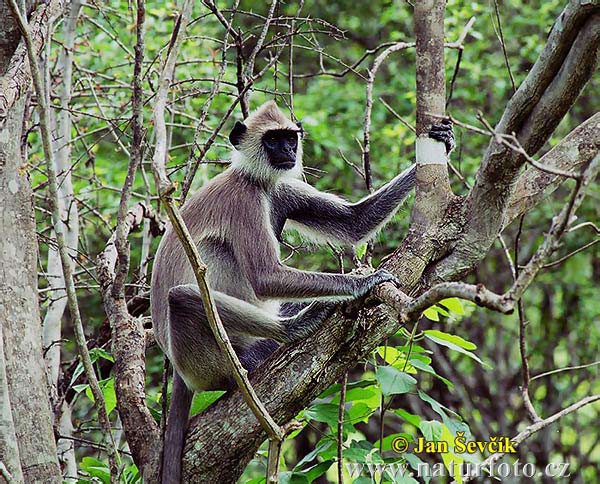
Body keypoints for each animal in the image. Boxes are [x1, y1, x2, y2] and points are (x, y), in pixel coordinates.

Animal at [151, 100, 454, 482]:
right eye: (272, 140)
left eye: (290, 138)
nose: (288, 151)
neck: (254, 180)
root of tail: (177, 367)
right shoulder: (245, 200)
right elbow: (265, 277)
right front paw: (361, 284)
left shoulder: (282, 189)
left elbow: (354, 223)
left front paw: (442, 143)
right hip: (202, 360)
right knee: (187, 292)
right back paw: (283, 334)